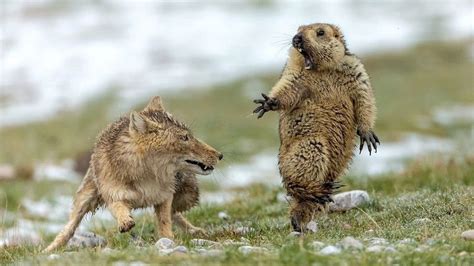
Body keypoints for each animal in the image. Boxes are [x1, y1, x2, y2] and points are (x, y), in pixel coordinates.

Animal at [44, 95, 222, 251]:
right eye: (184, 138)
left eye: (190, 136)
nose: (220, 155)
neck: (146, 177)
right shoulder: (114, 196)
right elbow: (119, 208)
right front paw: (125, 222)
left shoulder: (164, 197)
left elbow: (165, 221)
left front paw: (168, 240)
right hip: (84, 200)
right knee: (68, 228)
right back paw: (49, 249)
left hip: (187, 196)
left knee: (175, 213)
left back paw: (195, 231)